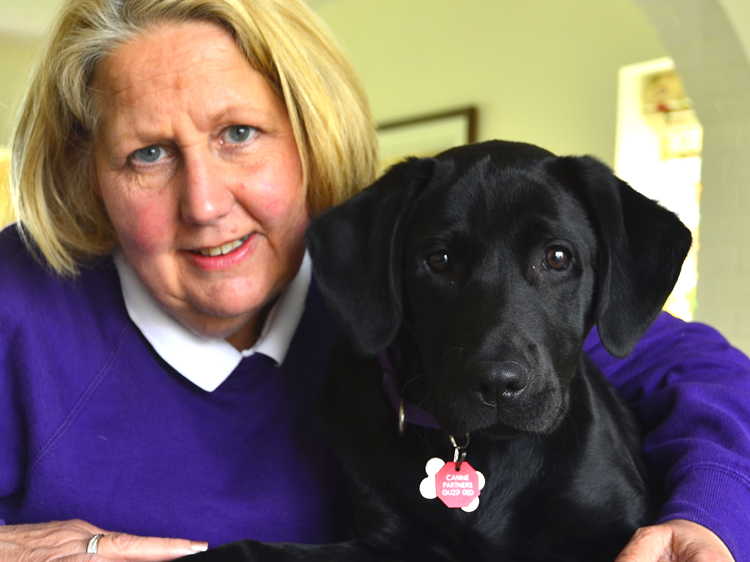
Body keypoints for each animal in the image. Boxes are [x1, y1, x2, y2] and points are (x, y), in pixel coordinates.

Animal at [192, 140, 692, 560]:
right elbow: (255, 549)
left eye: (557, 257)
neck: (485, 453)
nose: (498, 384)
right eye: (439, 260)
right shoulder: (386, 543)